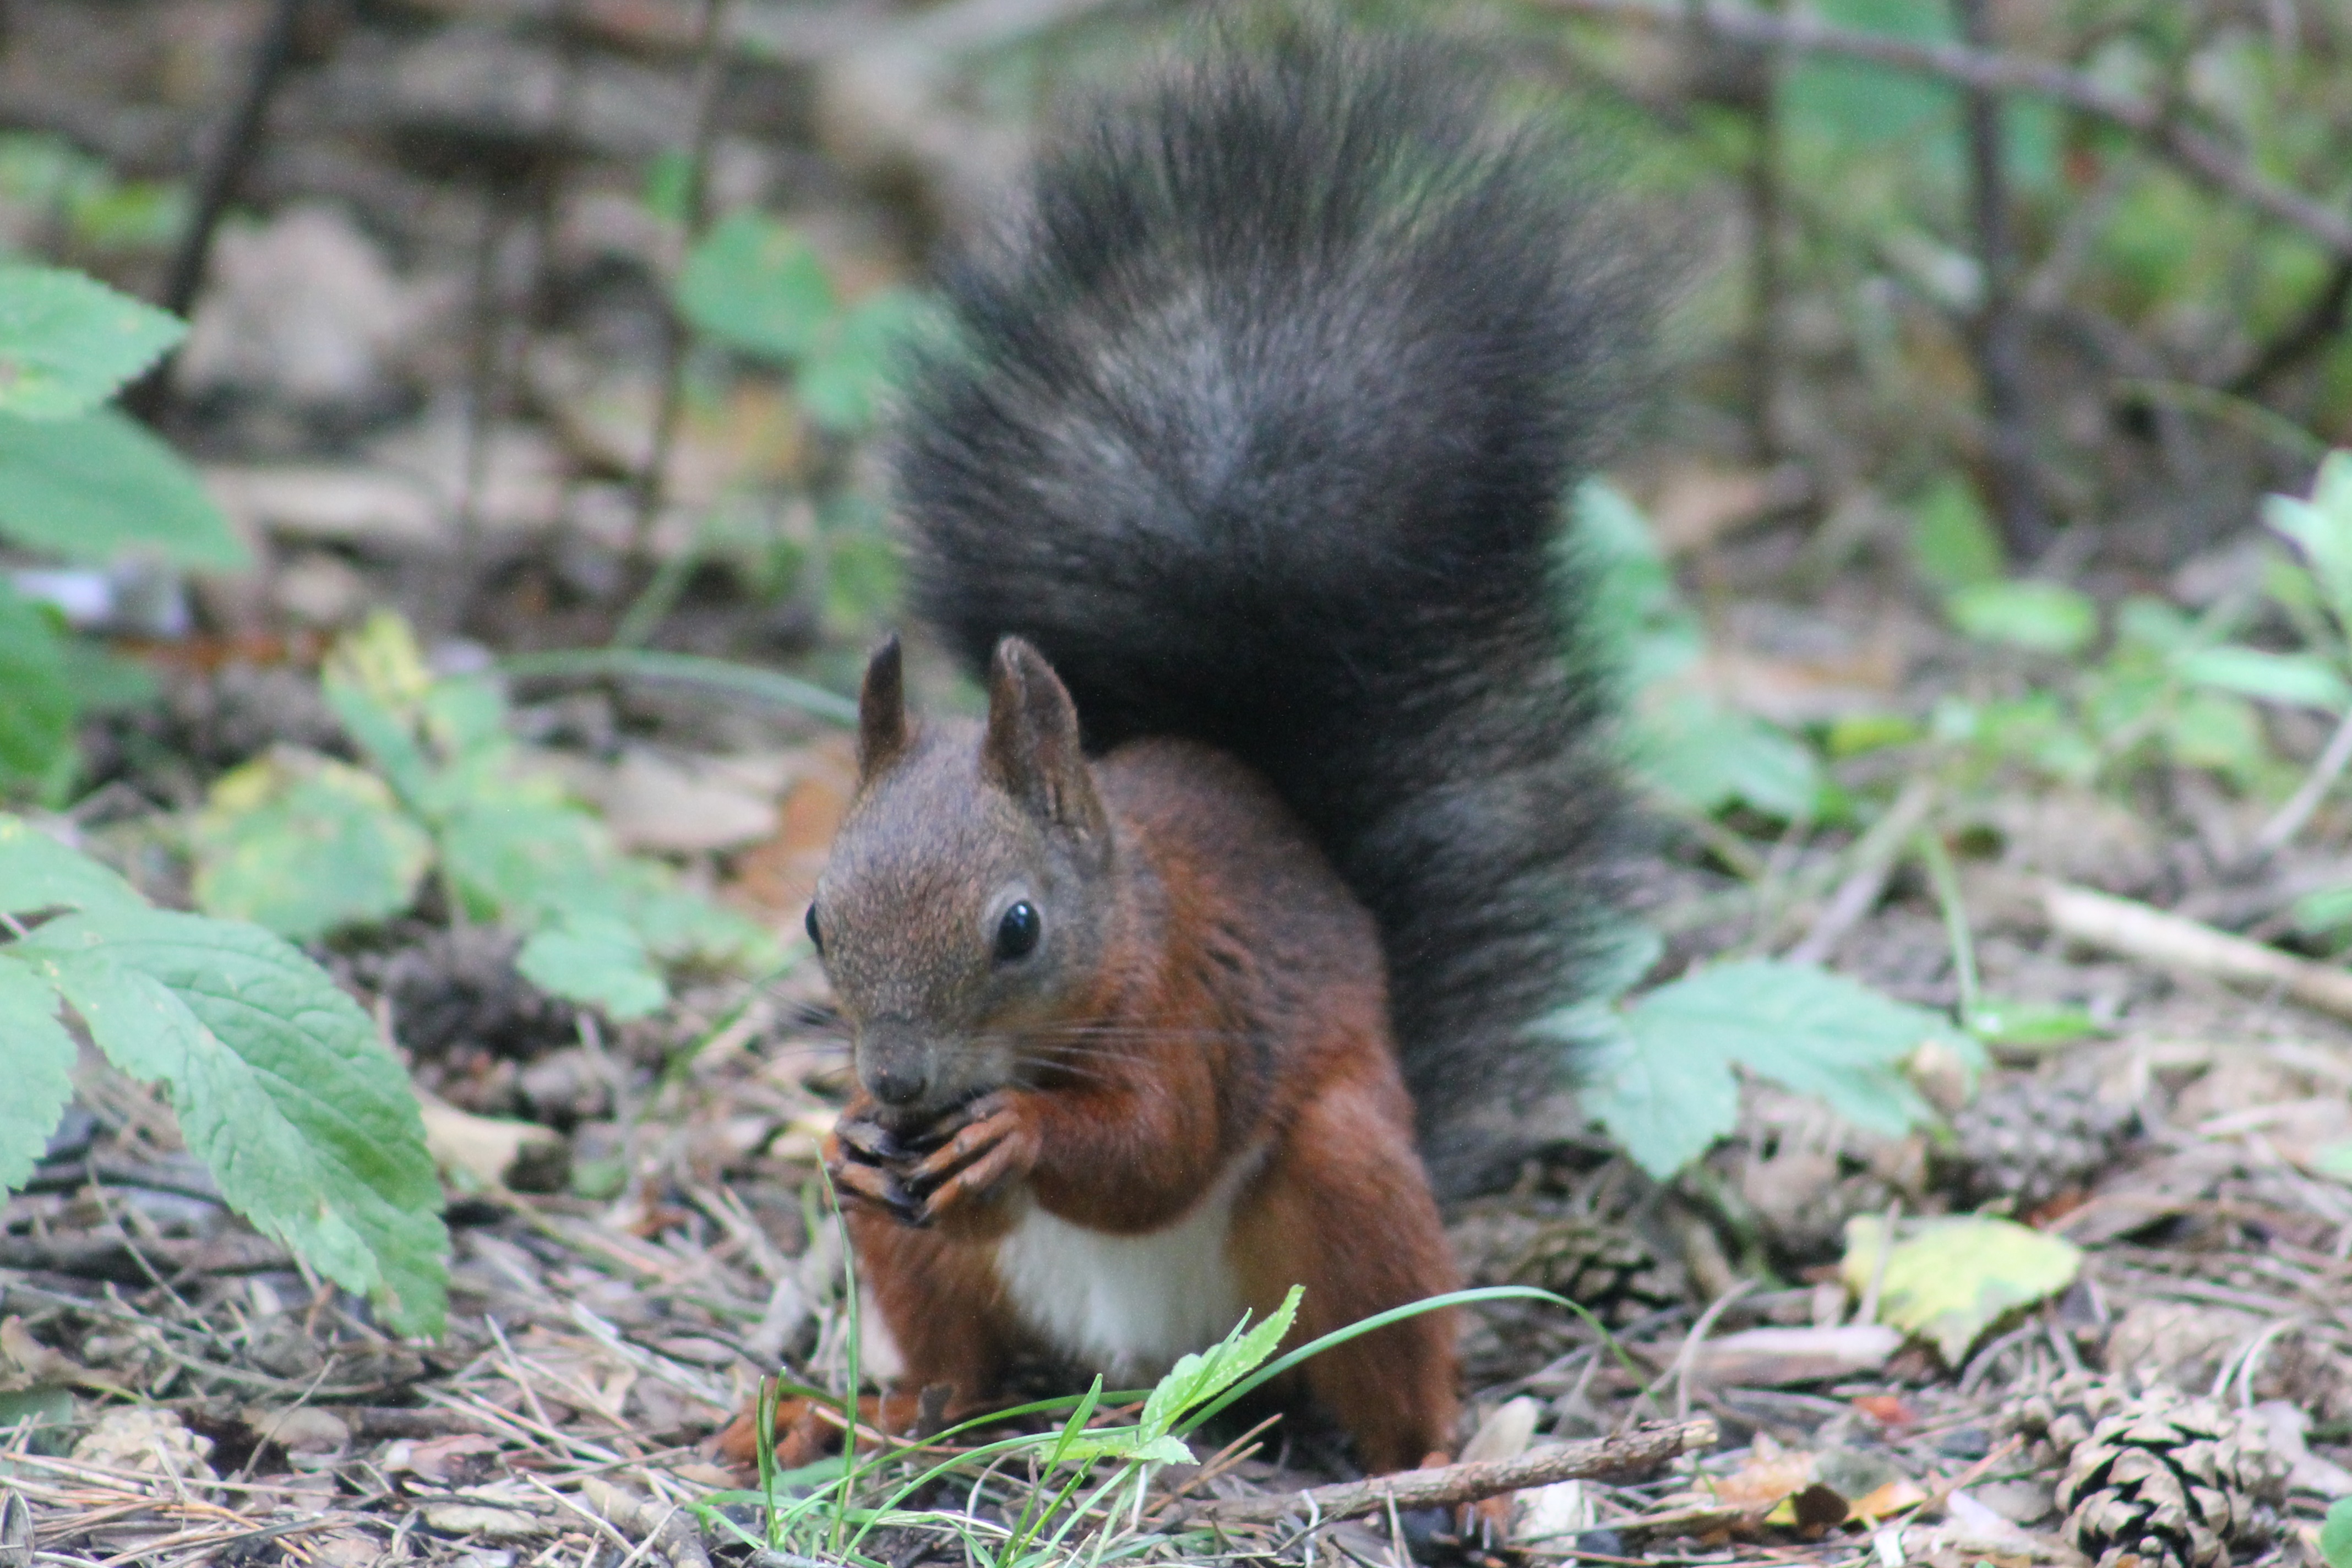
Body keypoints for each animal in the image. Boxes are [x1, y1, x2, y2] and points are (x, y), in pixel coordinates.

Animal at [715, 18, 1656, 1476]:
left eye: (1020, 927)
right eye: (817, 918)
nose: (900, 1082)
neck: (1122, 920)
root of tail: (1147, 1361)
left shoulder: (1199, 995)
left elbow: (1157, 1146)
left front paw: (1019, 1129)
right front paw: (847, 1134)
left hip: (1347, 1183)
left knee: (1387, 1360)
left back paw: (1445, 1469)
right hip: (928, 1274)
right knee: (959, 1363)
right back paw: (869, 1412)